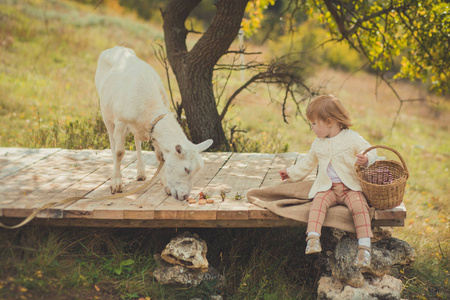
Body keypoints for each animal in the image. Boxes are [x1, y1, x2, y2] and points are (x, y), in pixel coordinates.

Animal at [94, 45, 213, 200]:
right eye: (186, 169)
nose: (184, 196)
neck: (149, 106)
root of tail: (116, 47)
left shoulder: (152, 128)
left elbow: (160, 156)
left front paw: (166, 185)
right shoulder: (121, 121)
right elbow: (120, 152)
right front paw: (116, 184)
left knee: (137, 140)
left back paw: (141, 172)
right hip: (106, 114)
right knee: (112, 142)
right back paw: (117, 175)